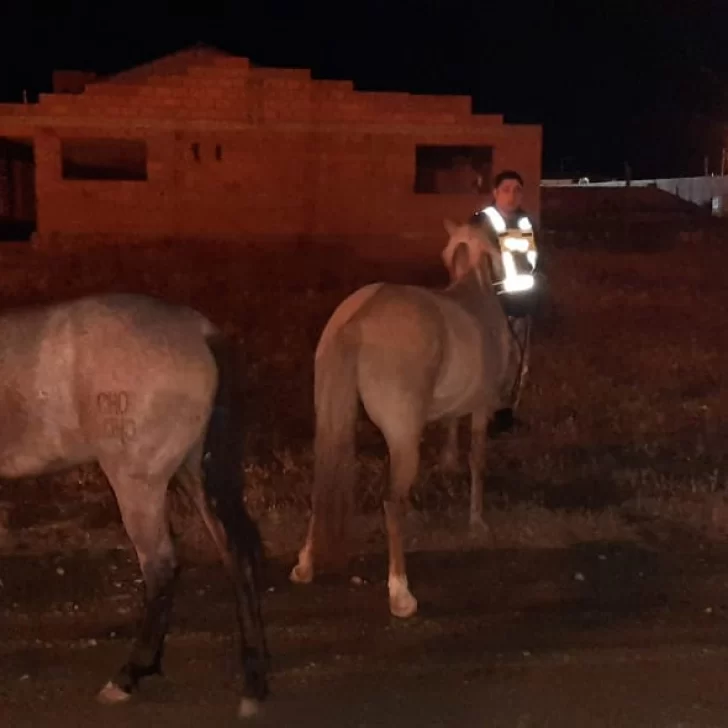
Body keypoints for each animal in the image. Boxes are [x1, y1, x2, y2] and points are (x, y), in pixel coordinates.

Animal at [0, 293, 268, 719]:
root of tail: (198, 330)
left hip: (137, 485)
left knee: (161, 566)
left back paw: (129, 675)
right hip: (194, 472)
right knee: (235, 554)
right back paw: (254, 679)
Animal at [289, 219, 521, 619]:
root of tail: (359, 319)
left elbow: (448, 437)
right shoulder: (482, 407)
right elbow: (477, 461)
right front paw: (476, 521)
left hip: (338, 424)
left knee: (322, 485)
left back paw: (306, 563)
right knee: (390, 501)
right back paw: (400, 593)